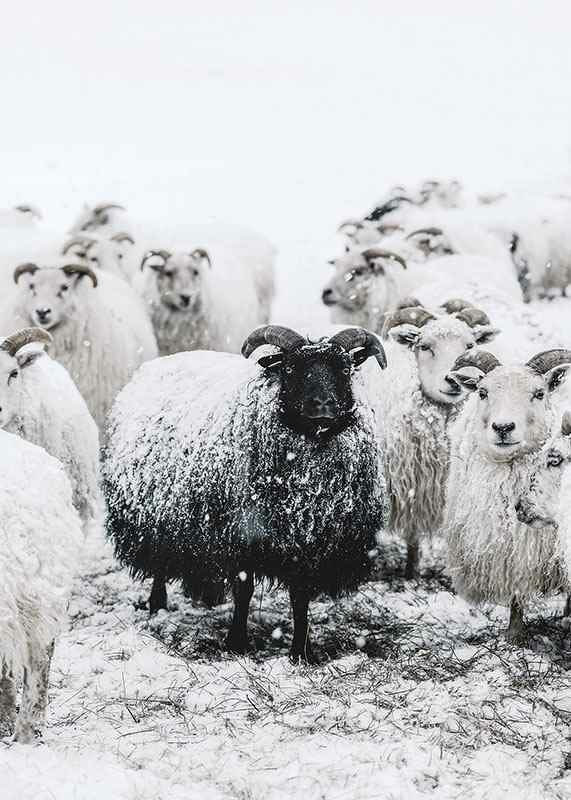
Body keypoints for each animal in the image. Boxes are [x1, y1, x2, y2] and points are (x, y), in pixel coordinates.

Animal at [102, 325, 388, 662]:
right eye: (290, 369)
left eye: (344, 369)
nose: (324, 405)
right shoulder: (240, 535)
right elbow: (244, 590)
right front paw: (236, 643)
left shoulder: (309, 544)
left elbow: (300, 596)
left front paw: (301, 652)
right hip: (155, 517)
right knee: (159, 564)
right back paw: (157, 605)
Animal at [378, 300, 499, 577]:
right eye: (424, 346)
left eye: (470, 346)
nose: (453, 380)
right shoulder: (411, 486)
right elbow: (412, 535)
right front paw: (410, 572)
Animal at [443, 348, 571, 640]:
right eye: (482, 392)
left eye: (539, 393)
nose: (503, 427)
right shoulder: (510, 547)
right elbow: (515, 590)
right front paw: (514, 634)